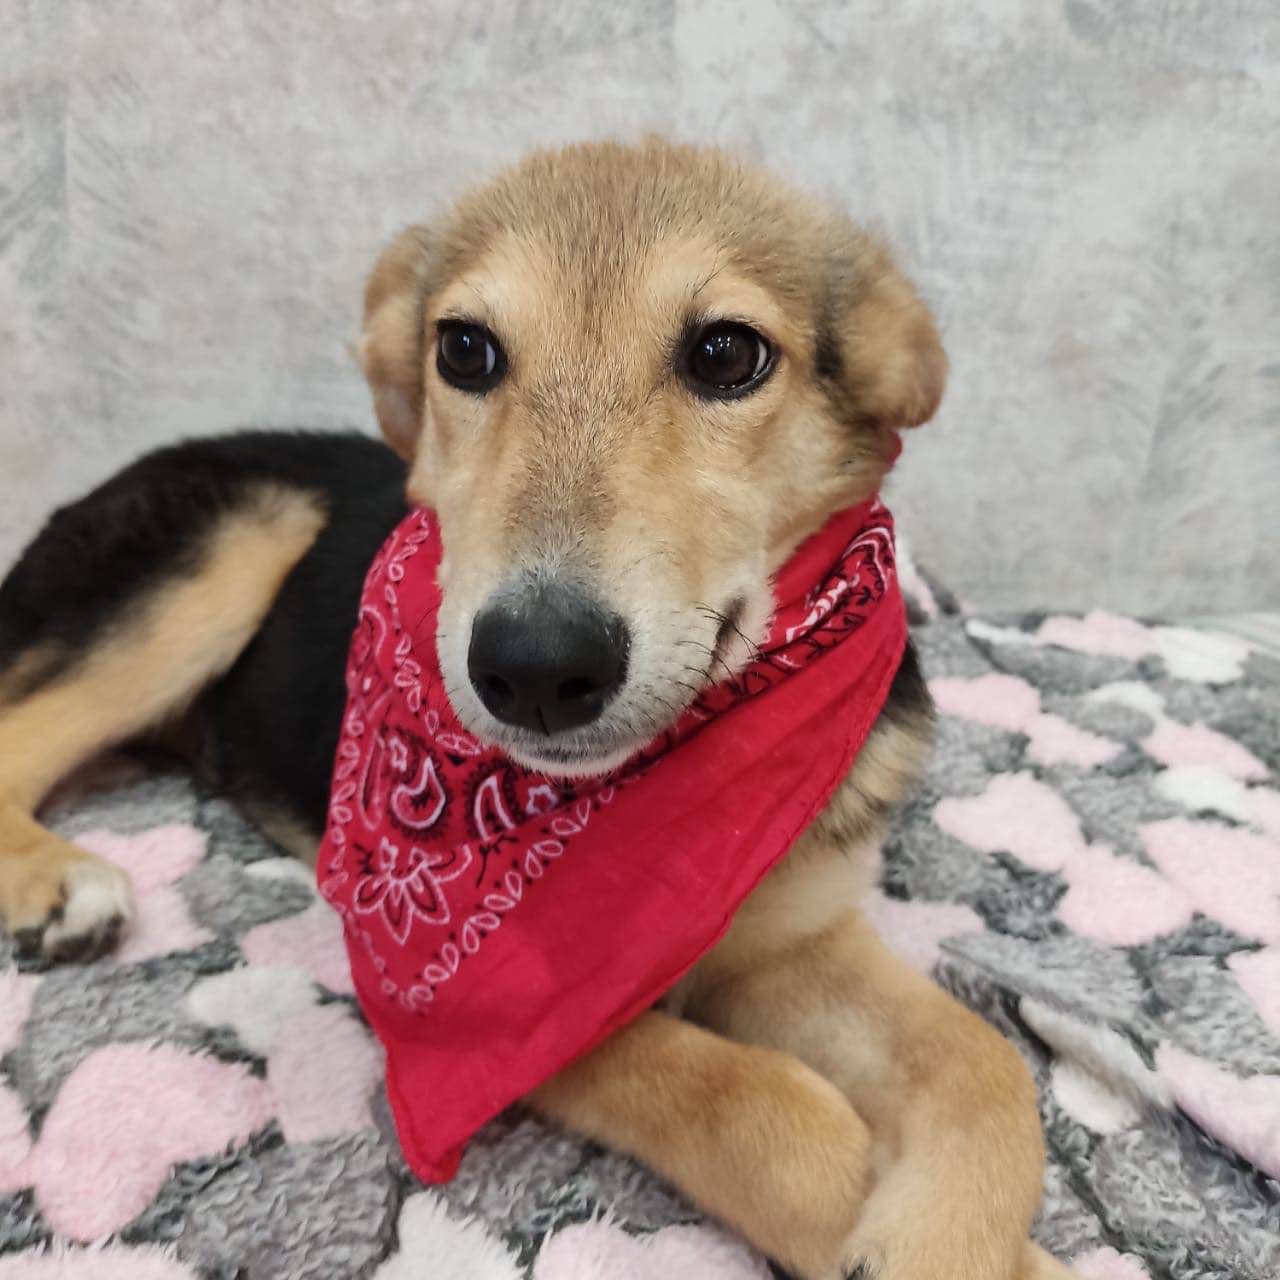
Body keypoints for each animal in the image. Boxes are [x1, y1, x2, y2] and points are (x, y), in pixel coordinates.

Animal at [0, 139, 1070, 1280]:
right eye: (464, 349)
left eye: (727, 353)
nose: (535, 667)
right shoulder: (517, 1025)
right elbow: (751, 1099)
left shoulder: (791, 939)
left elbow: (983, 1057)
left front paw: (954, 1238)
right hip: (235, 536)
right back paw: (54, 881)